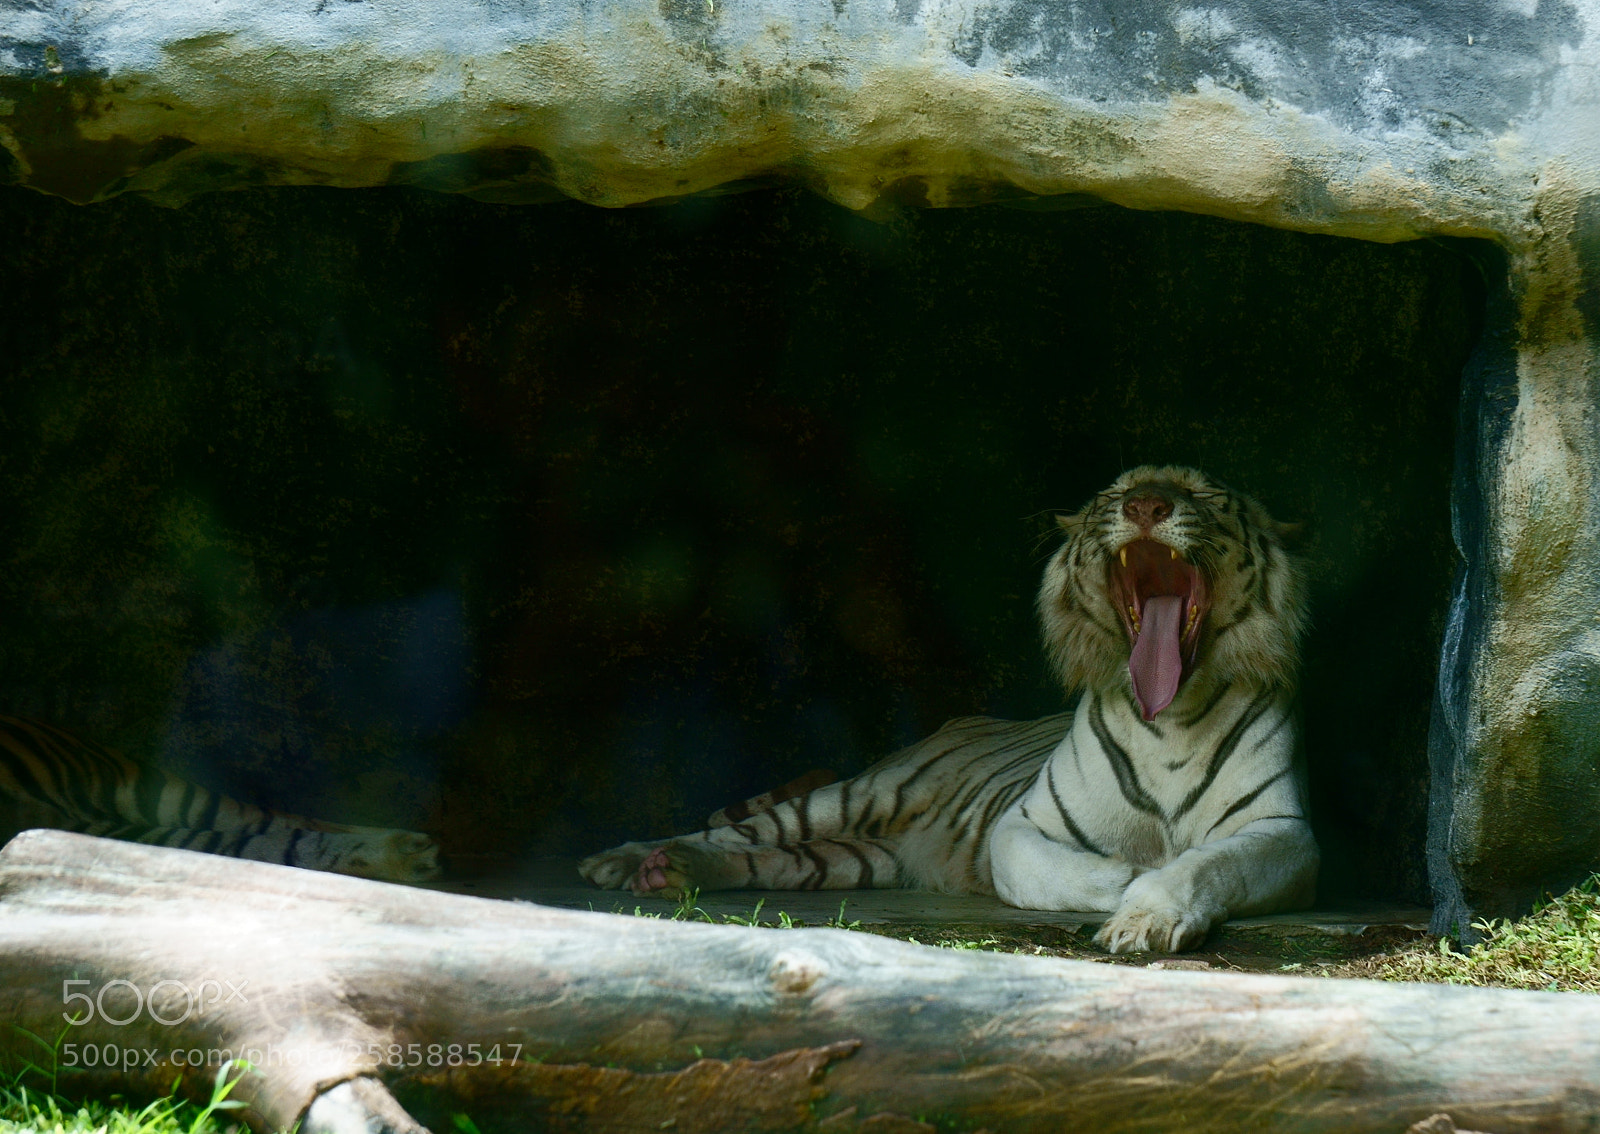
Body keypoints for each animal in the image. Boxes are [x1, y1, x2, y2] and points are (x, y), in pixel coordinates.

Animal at [579, 465, 1319, 954]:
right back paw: (628, 860)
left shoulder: (1284, 832)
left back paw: (671, 873)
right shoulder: (1022, 825)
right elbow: (1068, 871)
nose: (1145, 505)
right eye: (1114, 494)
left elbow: (1205, 865)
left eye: (1204, 495)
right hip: (858, 795)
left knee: (770, 860)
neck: (1169, 713)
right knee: (736, 832)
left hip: (854, 859)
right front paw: (1130, 882)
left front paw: (1147, 914)